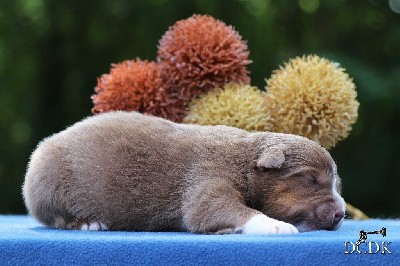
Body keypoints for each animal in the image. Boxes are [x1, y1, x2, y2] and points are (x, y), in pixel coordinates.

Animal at [23, 111, 346, 234]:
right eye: (310, 180)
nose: (342, 213)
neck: (244, 160)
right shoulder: (208, 178)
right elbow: (216, 208)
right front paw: (274, 225)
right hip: (50, 184)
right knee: (56, 216)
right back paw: (88, 223)